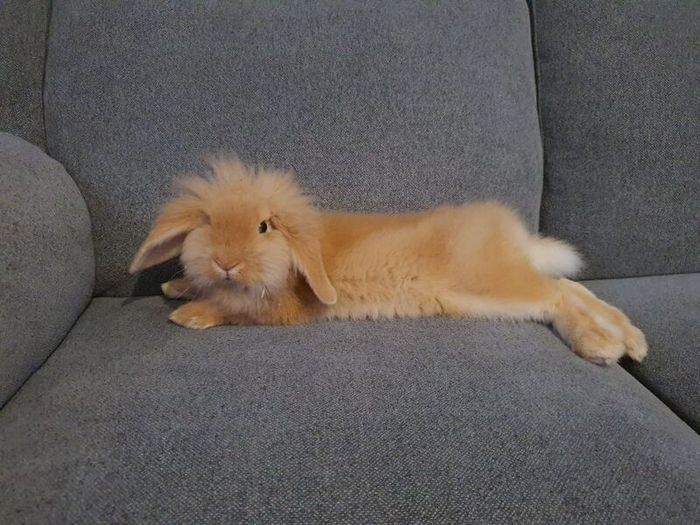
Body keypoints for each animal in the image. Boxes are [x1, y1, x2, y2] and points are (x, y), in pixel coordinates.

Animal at [129, 157, 647, 365]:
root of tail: (513, 235)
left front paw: (188, 314)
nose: (226, 263)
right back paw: (627, 342)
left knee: (557, 294)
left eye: (263, 227)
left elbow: (233, 309)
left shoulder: (278, 308)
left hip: (487, 284)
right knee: (569, 290)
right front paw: (177, 287)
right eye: (207, 222)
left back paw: (606, 345)